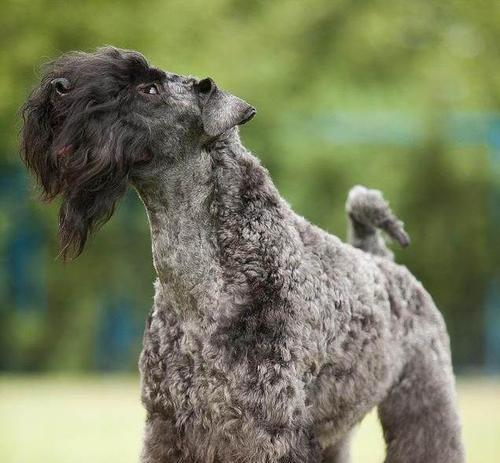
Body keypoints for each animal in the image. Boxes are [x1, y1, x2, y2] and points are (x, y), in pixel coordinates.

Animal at [20, 48, 464, 463]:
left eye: (151, 90)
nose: (58, 88)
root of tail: (384, 264)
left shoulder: (267, 428)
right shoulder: (168, 425)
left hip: (425, 399)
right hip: (333, 430)